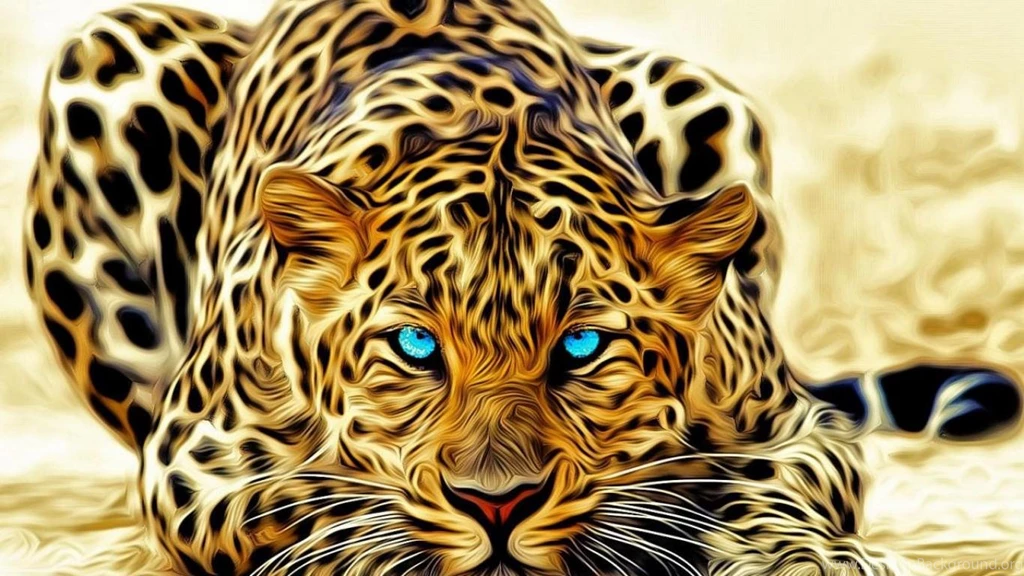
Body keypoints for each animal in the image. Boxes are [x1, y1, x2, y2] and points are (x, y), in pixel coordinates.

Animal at [23, 1, 1022, 574]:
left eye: (582, 345)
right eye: (415, 346)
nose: (497, 506)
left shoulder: (793, 426)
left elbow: (774, 487)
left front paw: (786, 557)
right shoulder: (194, 457)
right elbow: (310, 506)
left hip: (702, 93)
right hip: (106, 52)